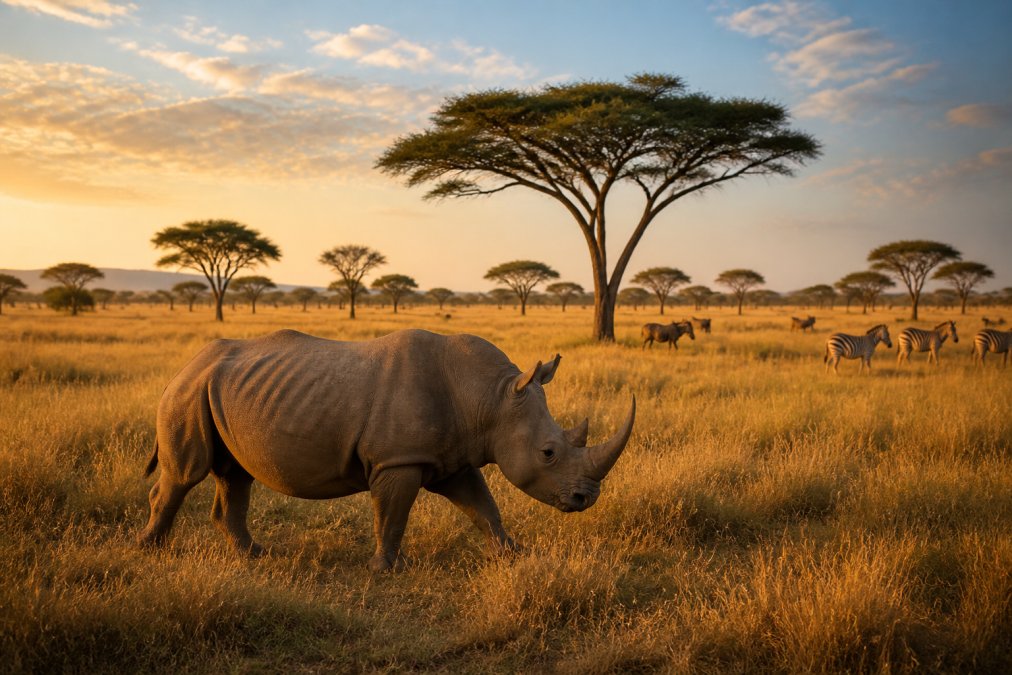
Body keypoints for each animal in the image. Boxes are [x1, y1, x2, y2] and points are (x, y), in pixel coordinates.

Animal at [139, 329, 635, 572]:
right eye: (549, 453)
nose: (585, 499)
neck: (490, 398)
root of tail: (186, 365)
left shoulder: (451, 458)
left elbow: (484, 508)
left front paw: (515, 554)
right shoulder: (399, 459)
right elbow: (392, 515)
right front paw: (385, 570)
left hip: (224, 392)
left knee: (235, 473)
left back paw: (254, 555)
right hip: (188, 392)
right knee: (186, 475)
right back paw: (150, 551)